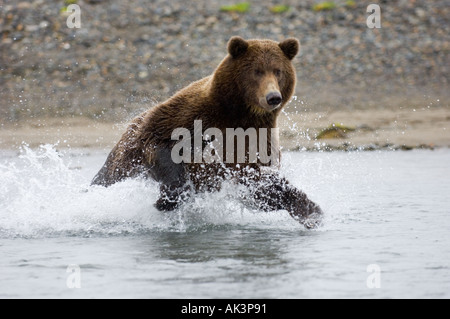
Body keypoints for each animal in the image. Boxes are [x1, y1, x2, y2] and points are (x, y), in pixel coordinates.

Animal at [92, 36, 324, 229]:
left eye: (278, 71)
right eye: (257, 71)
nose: (273, 97)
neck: (239, 113)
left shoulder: (254, 141)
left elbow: (260, 185)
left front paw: (312, 212)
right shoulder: (190, 117)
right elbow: (162, 144)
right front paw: (165, 201)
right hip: (124, 156)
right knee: (108, 176)